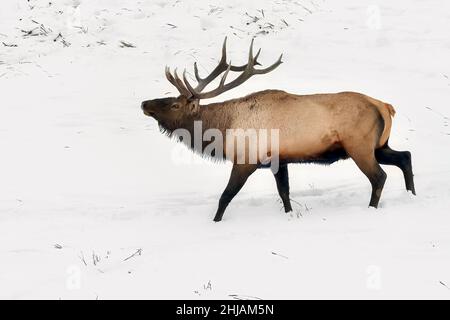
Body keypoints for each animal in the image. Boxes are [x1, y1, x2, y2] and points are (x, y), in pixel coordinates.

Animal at [141, 37, 414, 221]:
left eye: (175, 104)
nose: (144, 103)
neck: (223, 129)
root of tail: (385, 107)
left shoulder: (246, 159)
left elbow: (225, 196)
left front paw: (215, 222)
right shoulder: (279, 161)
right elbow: (284, 193)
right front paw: (289, 215)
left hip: (360, 146)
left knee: (379, 176)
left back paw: (372, 208)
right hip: (379, 145)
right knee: (405, 156)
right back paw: (411, 196)